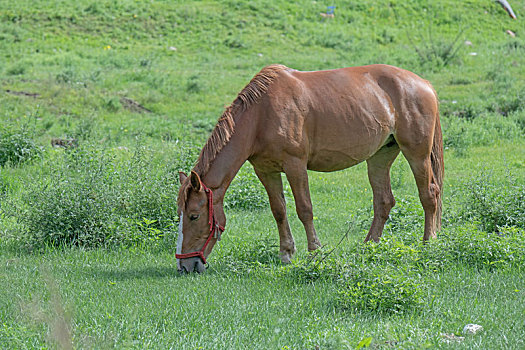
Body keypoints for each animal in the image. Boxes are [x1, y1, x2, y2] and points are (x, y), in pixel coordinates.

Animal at [177, 65, 442, 274]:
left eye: (194, 216)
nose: (185, 266)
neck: (261, 116)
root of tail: (424, 84)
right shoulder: (266, 170)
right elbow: (279, 211)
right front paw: (286, 253)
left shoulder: (295, 165)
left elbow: (304, 210)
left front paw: (315, 252)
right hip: (380, 157)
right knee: (384, 201)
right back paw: (369, 247)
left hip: (416, 154)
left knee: (429, 194)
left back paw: (428, 243)